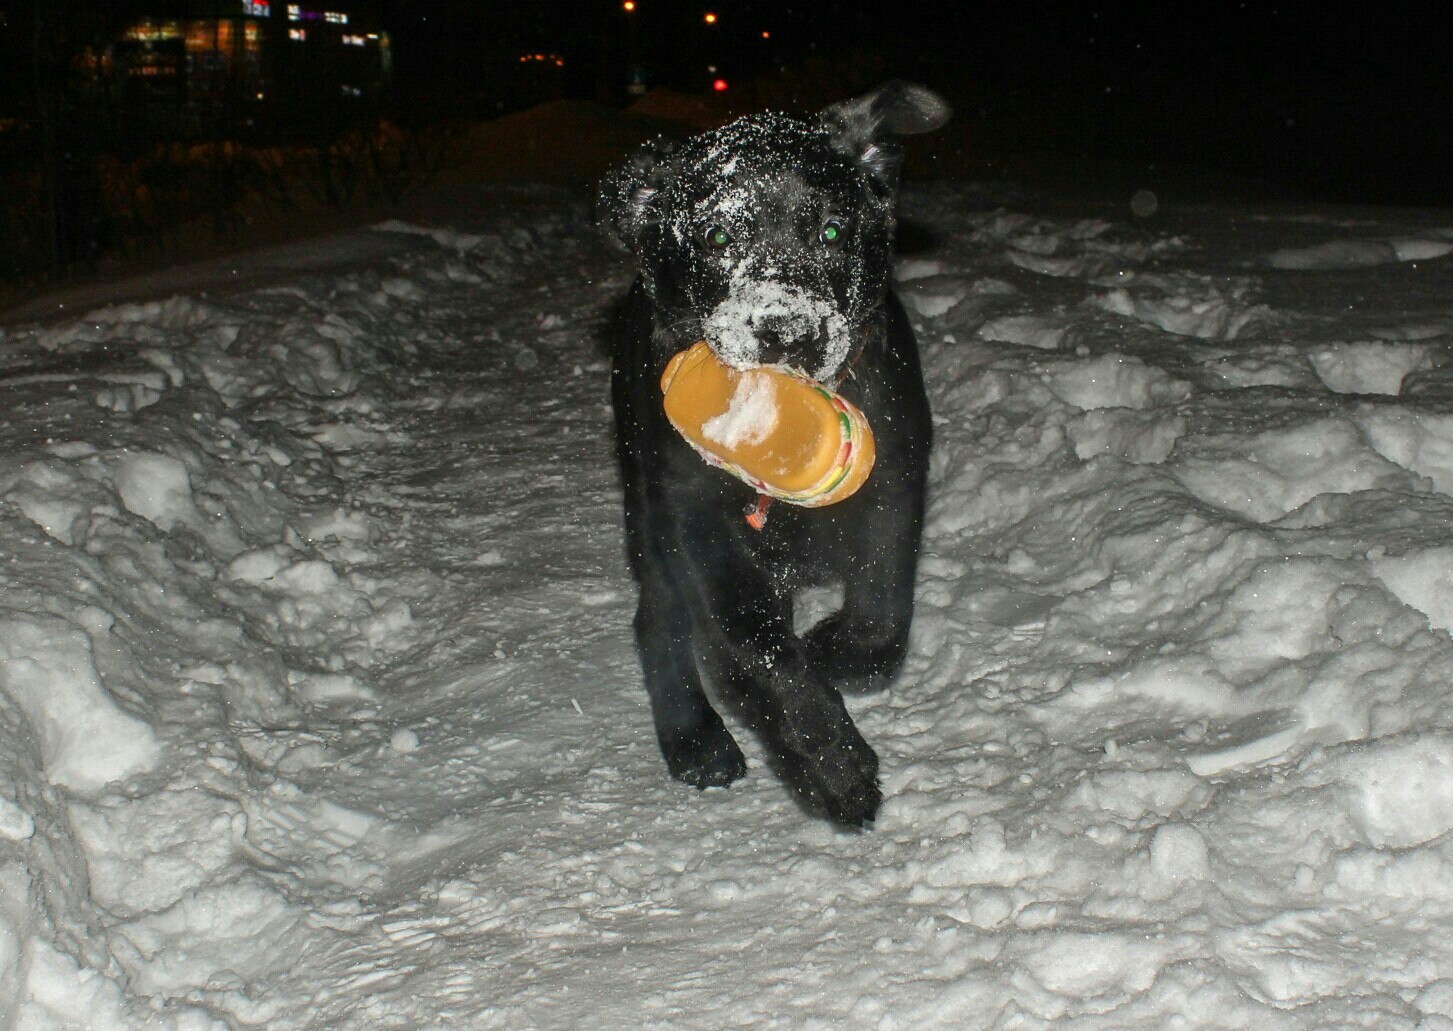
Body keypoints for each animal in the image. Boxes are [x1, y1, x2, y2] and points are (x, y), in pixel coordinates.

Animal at [595, 80, 947, 830]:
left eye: (833, 232)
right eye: (716, 236)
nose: (786, 332)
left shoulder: (898, 470)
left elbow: (883, 600)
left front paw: (840, 652)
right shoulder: (696, 517)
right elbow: (757, 643)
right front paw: (836, 763)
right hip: (646, 507)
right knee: (657, 619)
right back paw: (695, 740)